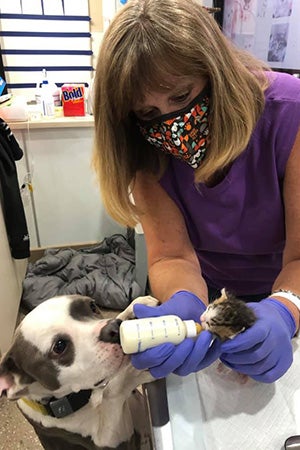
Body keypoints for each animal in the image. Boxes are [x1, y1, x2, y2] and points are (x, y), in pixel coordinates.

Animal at [0, 296, 159, 450]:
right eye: (59, 346)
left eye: (92, 306)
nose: (113, 328)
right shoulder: (110, 440)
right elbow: (117, 389)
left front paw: (136, 306)